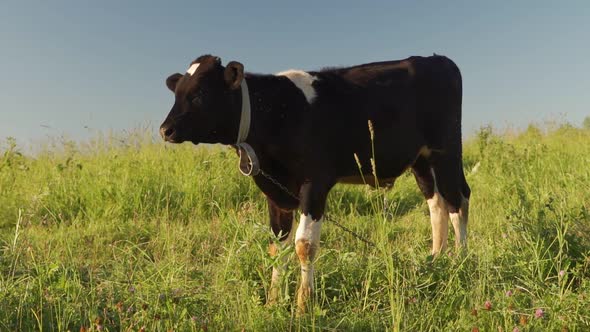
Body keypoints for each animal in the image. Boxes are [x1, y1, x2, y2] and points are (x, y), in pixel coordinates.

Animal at [161, 53, 472, 312]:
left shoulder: (315, 184)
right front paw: (273, 301)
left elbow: (304, 245)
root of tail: (436, 59)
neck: (277, 111)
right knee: (436, 204)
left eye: (200, 93)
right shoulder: (277, 194)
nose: (166, 129)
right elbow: (277, 246)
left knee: (457, 201)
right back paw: (435, 260)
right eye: (177, 93)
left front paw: (303, 305)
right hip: (421, 161)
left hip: (446, 151)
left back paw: (460, 261)